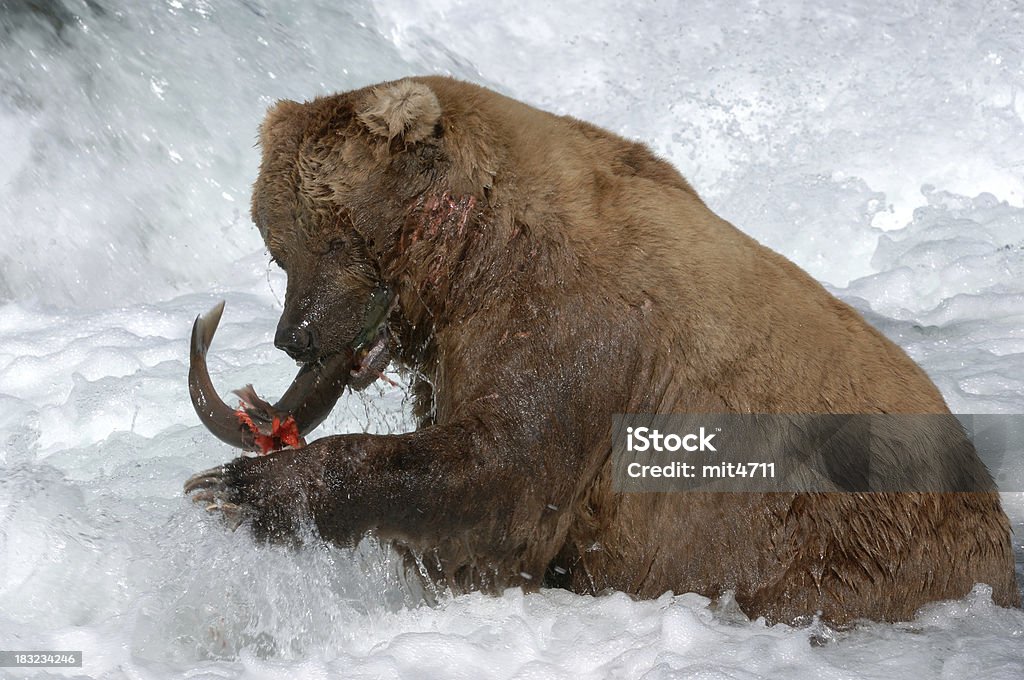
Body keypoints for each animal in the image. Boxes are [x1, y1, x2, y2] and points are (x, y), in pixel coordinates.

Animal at [184, 76, 1015, 622]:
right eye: (277, 245)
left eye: (334, 232)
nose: (296, 334)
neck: (469, 264)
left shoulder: (575, 330)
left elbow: (503, 475)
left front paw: (238, 488)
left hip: (845, 545)